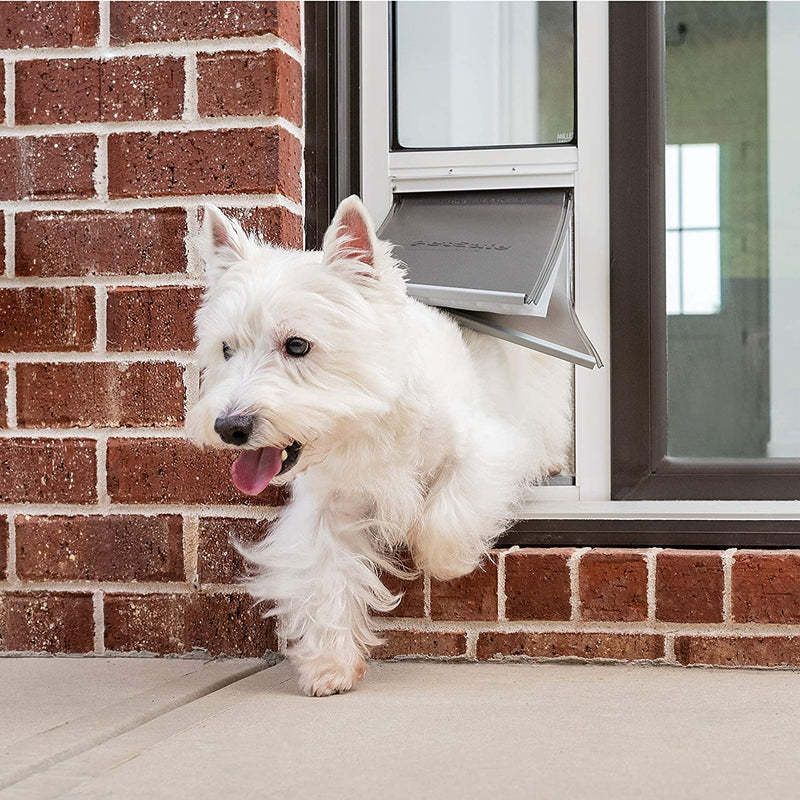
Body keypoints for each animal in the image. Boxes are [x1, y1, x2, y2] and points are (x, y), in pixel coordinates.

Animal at [190, 195, 572, 692]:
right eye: (225, 349)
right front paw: (330, 665)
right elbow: (325, 575)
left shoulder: (486, 447)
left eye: (297, 345)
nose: (230, 427)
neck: (369, 420)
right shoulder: (326, 505)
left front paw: (444, 560)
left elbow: (444, 516)